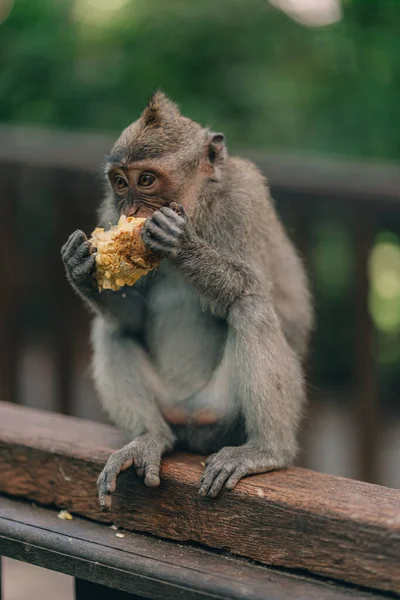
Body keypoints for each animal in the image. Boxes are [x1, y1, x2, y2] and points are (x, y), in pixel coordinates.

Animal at [61, 91, 314, 508]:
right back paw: (150, 437)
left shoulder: (241, 201)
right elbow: (130, 320)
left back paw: (266, 450)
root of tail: (190, 414)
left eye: (146, 180)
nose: (130, 210)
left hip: (223, 409)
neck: (197, 208)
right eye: (120, 183)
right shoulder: (107, 210)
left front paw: (181, 244)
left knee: (251, 308)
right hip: (169, 406)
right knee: (111, 330)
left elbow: (254, 287)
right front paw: (81, 267)